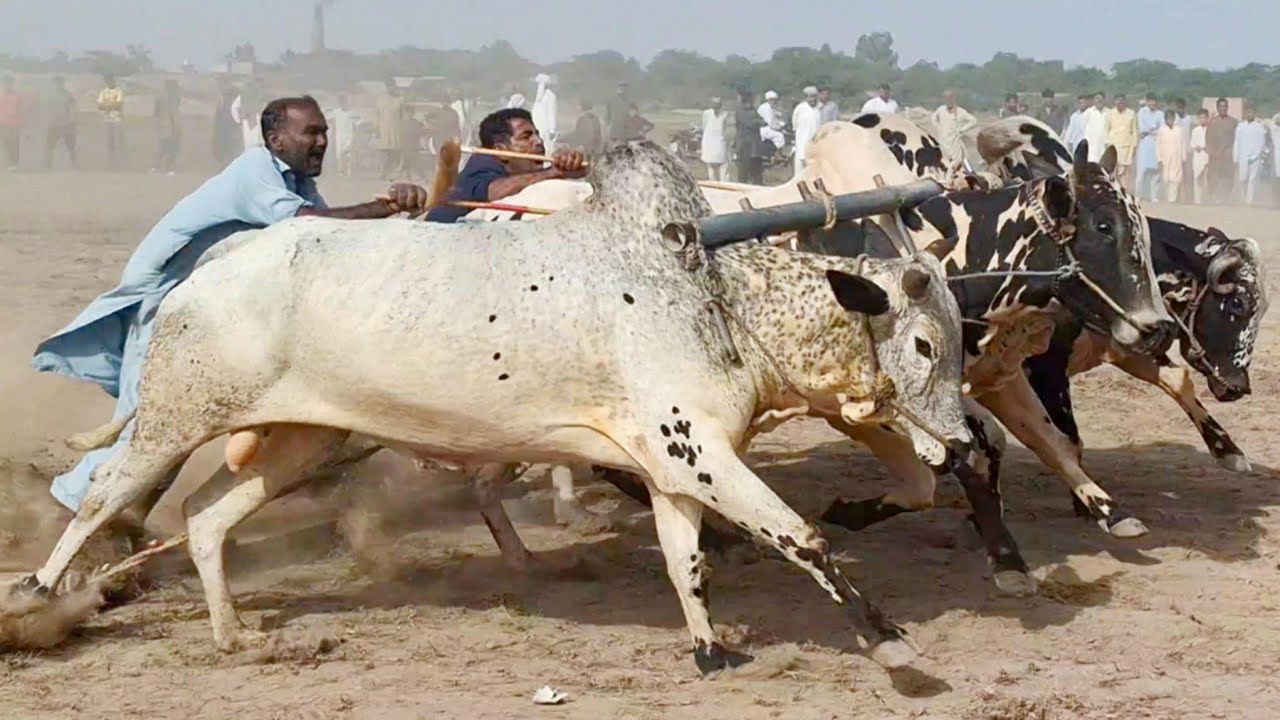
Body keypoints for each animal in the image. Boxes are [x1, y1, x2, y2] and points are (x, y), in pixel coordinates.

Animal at [13, 141, 973, 674]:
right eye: (925, 343)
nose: (964, 440)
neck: (721, 296)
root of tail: (213, 267)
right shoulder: (700, 453)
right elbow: (804, 539)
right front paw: (892, 645)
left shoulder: (673, 466)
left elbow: (686, 564)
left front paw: (710, 649)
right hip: (176, 419)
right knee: (102, 498)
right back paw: (35, 598)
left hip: (305, 442)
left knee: (208, 520)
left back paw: (236, 636)